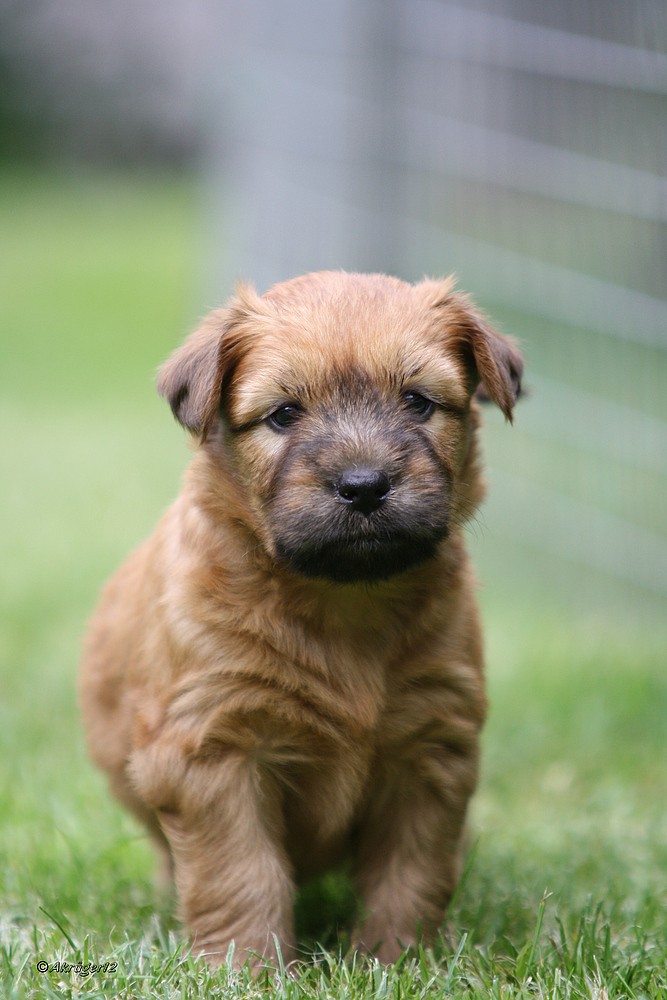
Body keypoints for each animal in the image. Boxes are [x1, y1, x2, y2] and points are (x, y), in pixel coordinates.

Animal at [81, 270, 524, 964]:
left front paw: (399, 959)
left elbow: (412, 873)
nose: (365, 486)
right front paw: (245, 967)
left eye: (418, 403)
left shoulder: (429, 747)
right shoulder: (213, 747)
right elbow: (241, 873)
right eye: (285, 414)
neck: (344, 602)